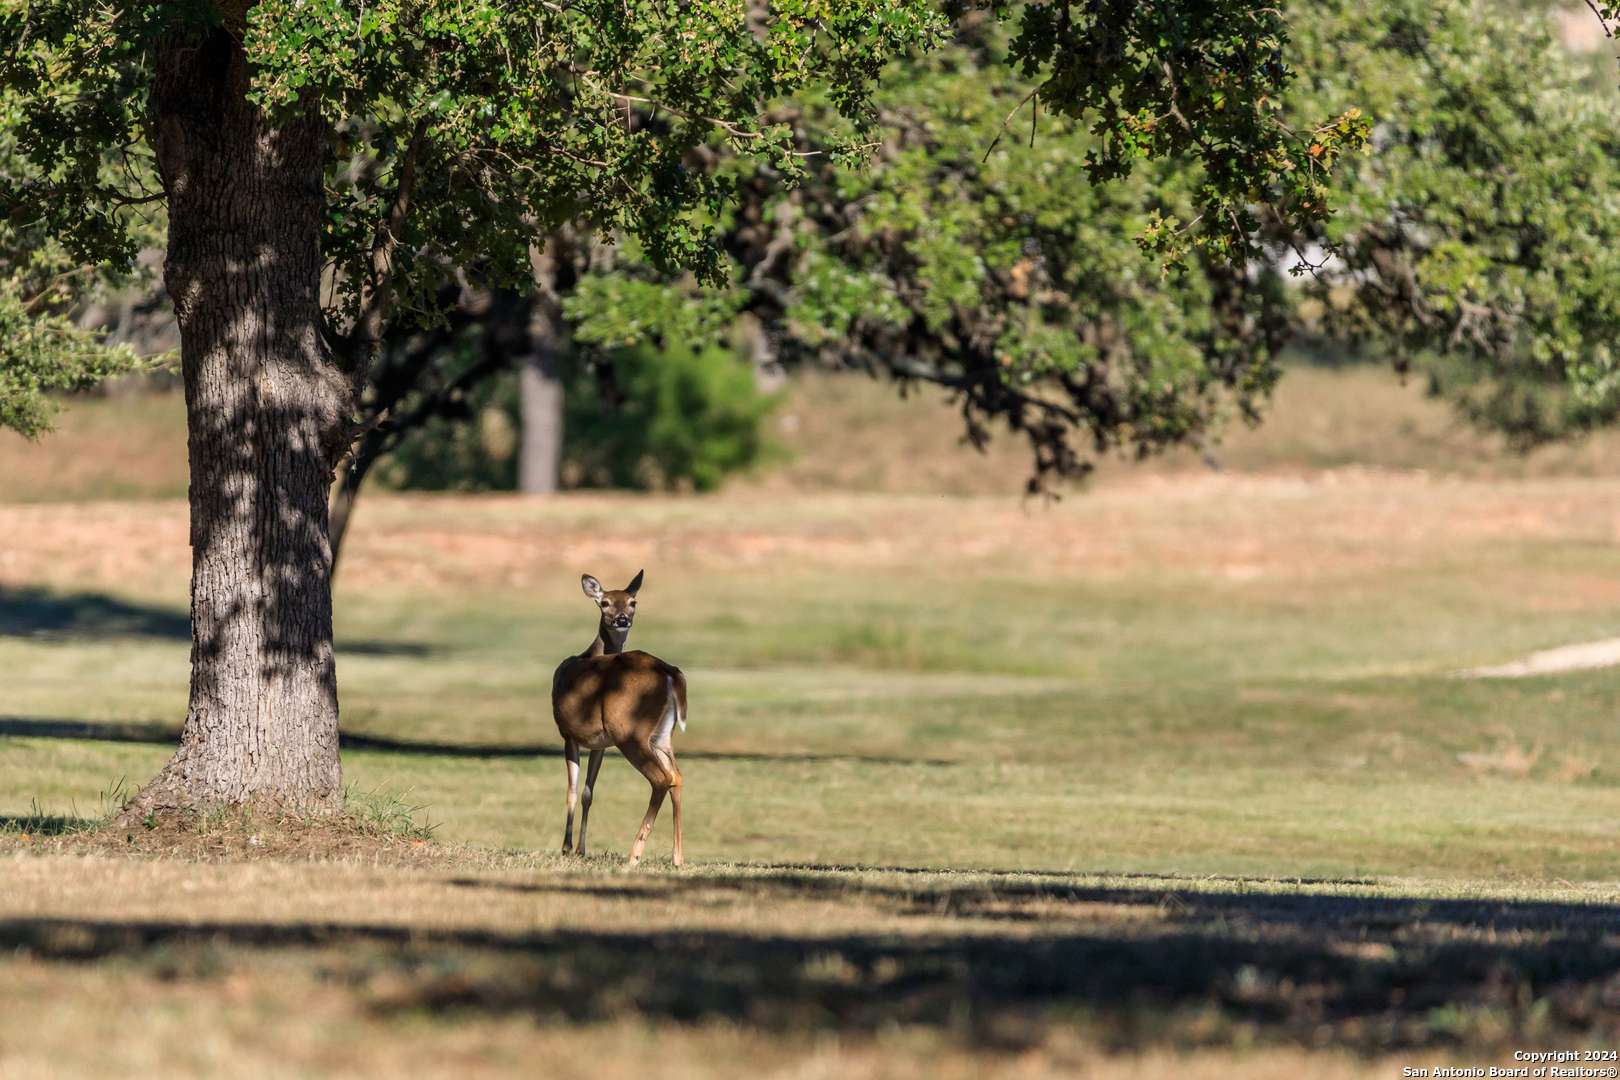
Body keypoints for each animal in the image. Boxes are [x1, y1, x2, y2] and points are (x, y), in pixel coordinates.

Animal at [554, 569, 686, 867]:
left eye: (632, 602)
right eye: (605, 603)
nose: (622, 619)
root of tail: (669, 671)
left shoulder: (568, 734)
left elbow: (571, 789)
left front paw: (566, 848)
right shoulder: (600, 744)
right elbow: (588, 791)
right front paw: (580, 849)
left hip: (630, 730)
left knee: (661, 778)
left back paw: (634, 855)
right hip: (661, 735)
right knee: (677, 775)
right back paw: (677, 857)